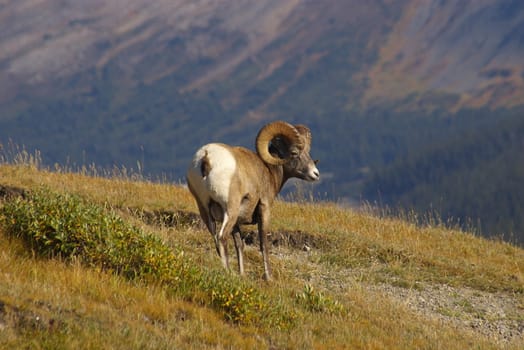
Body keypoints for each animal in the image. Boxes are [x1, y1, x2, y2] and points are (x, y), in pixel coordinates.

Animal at [187, 121, 320, 280]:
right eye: (294, 153)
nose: (315, 174)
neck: (268, 170)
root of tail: (206, 157)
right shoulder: (264, 209)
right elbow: (263, 244)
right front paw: (269, 278)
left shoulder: (237, 223)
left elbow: (239, 245)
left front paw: (242, 274)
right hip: (230, 210)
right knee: (221, 237)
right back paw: (228, 273)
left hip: (205, 211)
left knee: (215, 238)